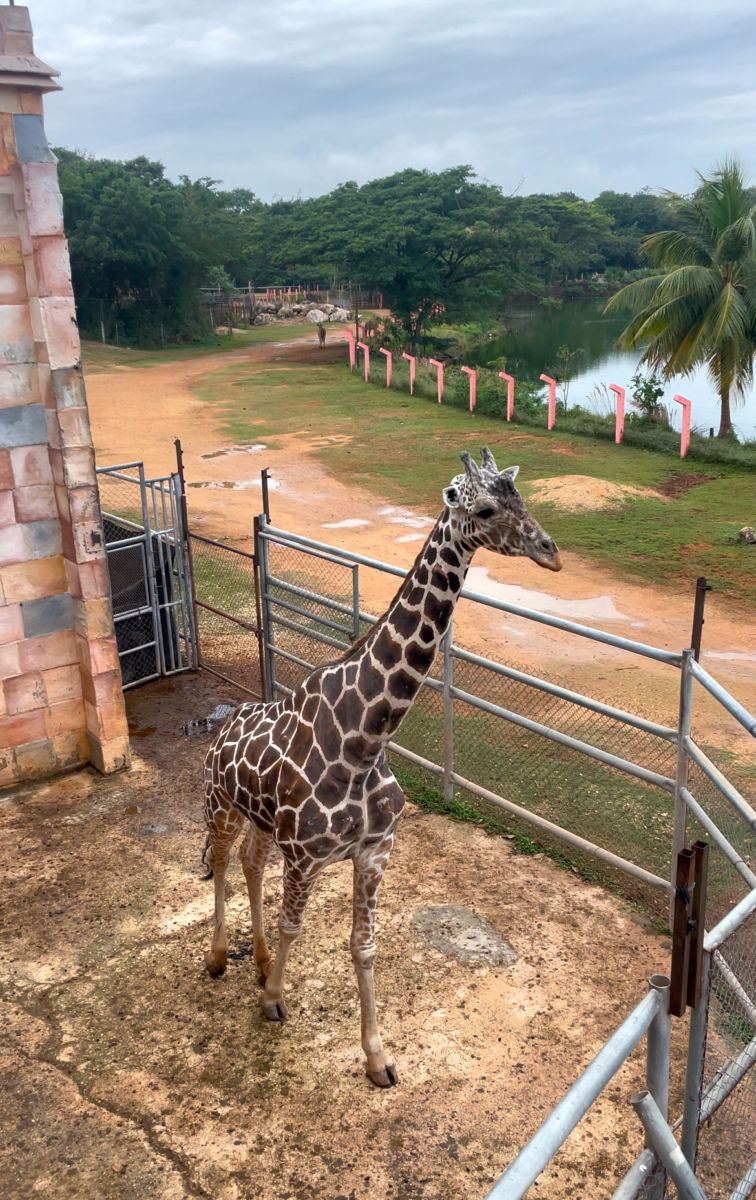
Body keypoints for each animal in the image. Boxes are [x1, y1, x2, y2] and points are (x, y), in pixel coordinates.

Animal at [202, 447, 562, 1087]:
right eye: (485, 508)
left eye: (522, 496)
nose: (550, 551)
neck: (365, 741)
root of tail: (221, 730)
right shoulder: (307, 857)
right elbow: (296, 925)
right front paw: (272, 1002)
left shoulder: (374, 851)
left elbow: (363, 946)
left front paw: (377, 1059)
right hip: (221, 806)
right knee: (220, 864)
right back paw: (222, 958)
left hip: (262, 823)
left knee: (248, 862)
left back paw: (260, 959)